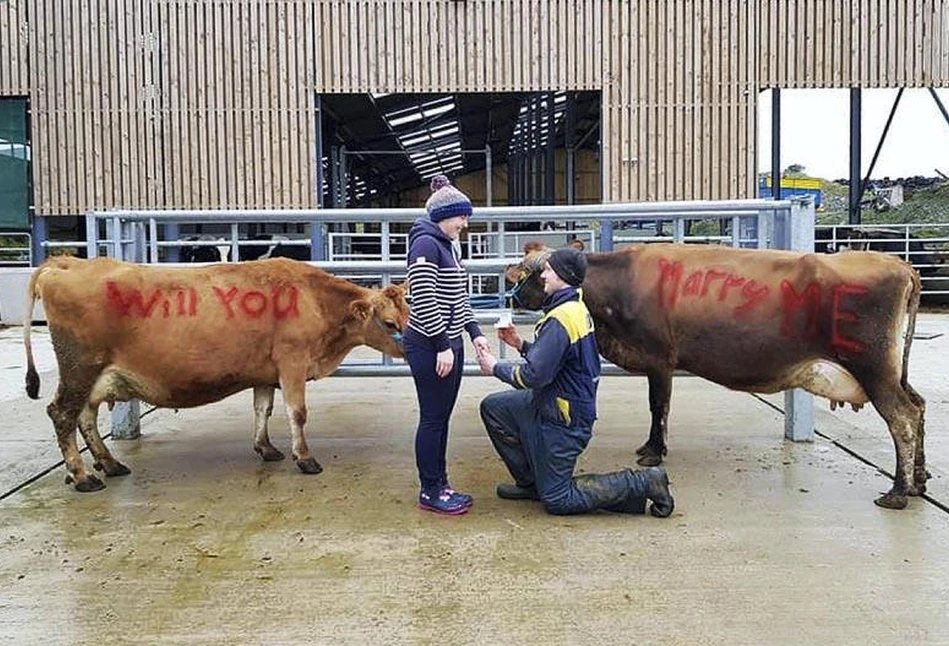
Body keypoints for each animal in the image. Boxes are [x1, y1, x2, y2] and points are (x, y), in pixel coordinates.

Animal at [23, 256, 408, 494]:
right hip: (80, 368)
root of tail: (68, 262)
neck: (315, 301)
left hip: (91, 376)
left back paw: (108, 463)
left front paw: (266, 447)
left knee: (84, 416)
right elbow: (297, 413)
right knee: (62, 414)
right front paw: (305, 458)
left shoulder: (265, 372)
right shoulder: (292, 363)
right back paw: (83, 475)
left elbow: (263, 409)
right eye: (390, 323)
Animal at [512, 243, 924, 512]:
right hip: (890, 372)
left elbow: (658, 405)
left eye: (534, 272)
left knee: (902, 418)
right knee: (918, 407)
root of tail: (899, 264)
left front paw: (653, 451)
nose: (514, 298)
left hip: (874, 368)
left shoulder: (659, 358)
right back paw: (918, 482)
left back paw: (897, 492)